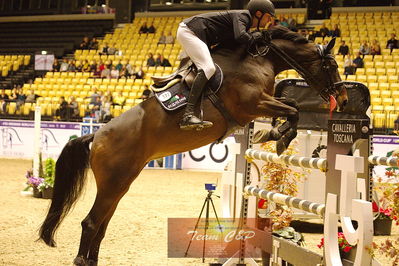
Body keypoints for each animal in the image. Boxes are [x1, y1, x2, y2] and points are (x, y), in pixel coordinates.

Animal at [39, 25, 348, 266]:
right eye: (331, 66)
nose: (343, 100)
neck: (257, 61)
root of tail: (97, 135)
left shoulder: (262, 104)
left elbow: (292, 105)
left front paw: (274, 133)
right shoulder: (253, 104)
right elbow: (293, 109)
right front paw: (278, 136)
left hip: (121, 184)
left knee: (101, 225)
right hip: (113, 183)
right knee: (91, 223)